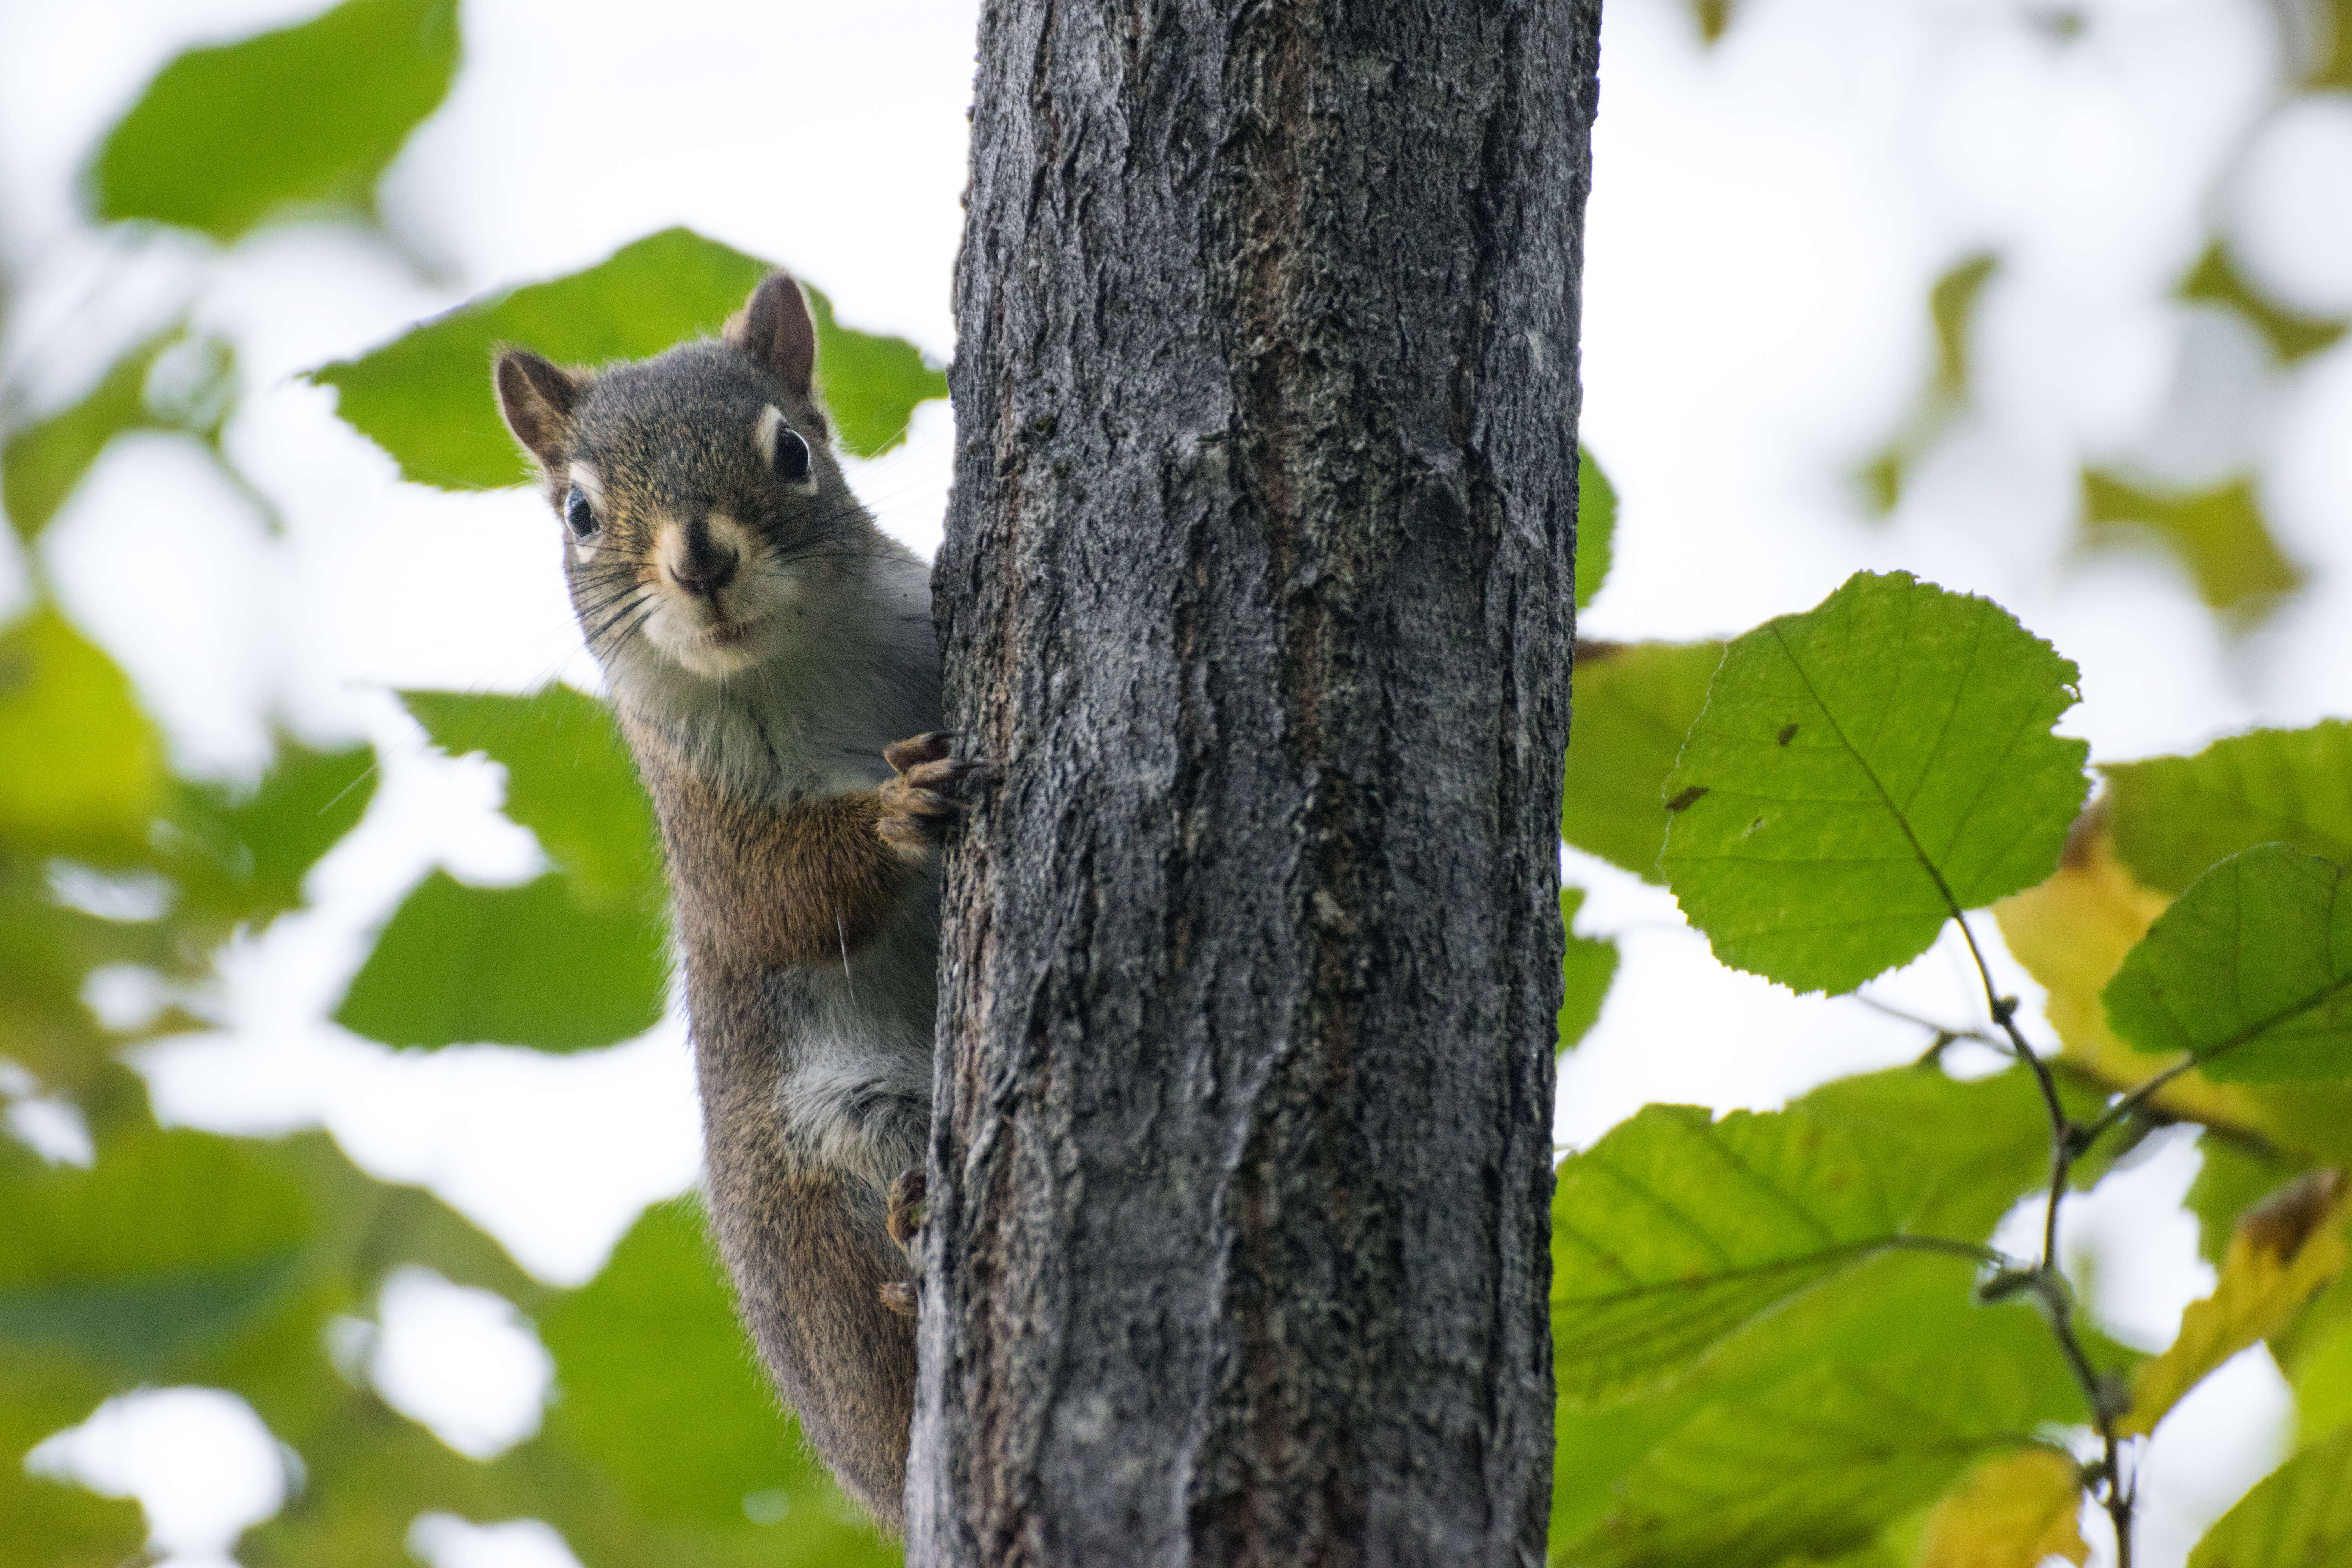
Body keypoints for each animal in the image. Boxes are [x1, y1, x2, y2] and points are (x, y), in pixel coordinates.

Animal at [492, 272, 969, 1533]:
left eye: (793, 450)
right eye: (579, 514)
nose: (700, 561)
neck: (784, 667)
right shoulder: (702, 828)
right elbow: (775, 904)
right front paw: (894, 814)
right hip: (824, 1171)